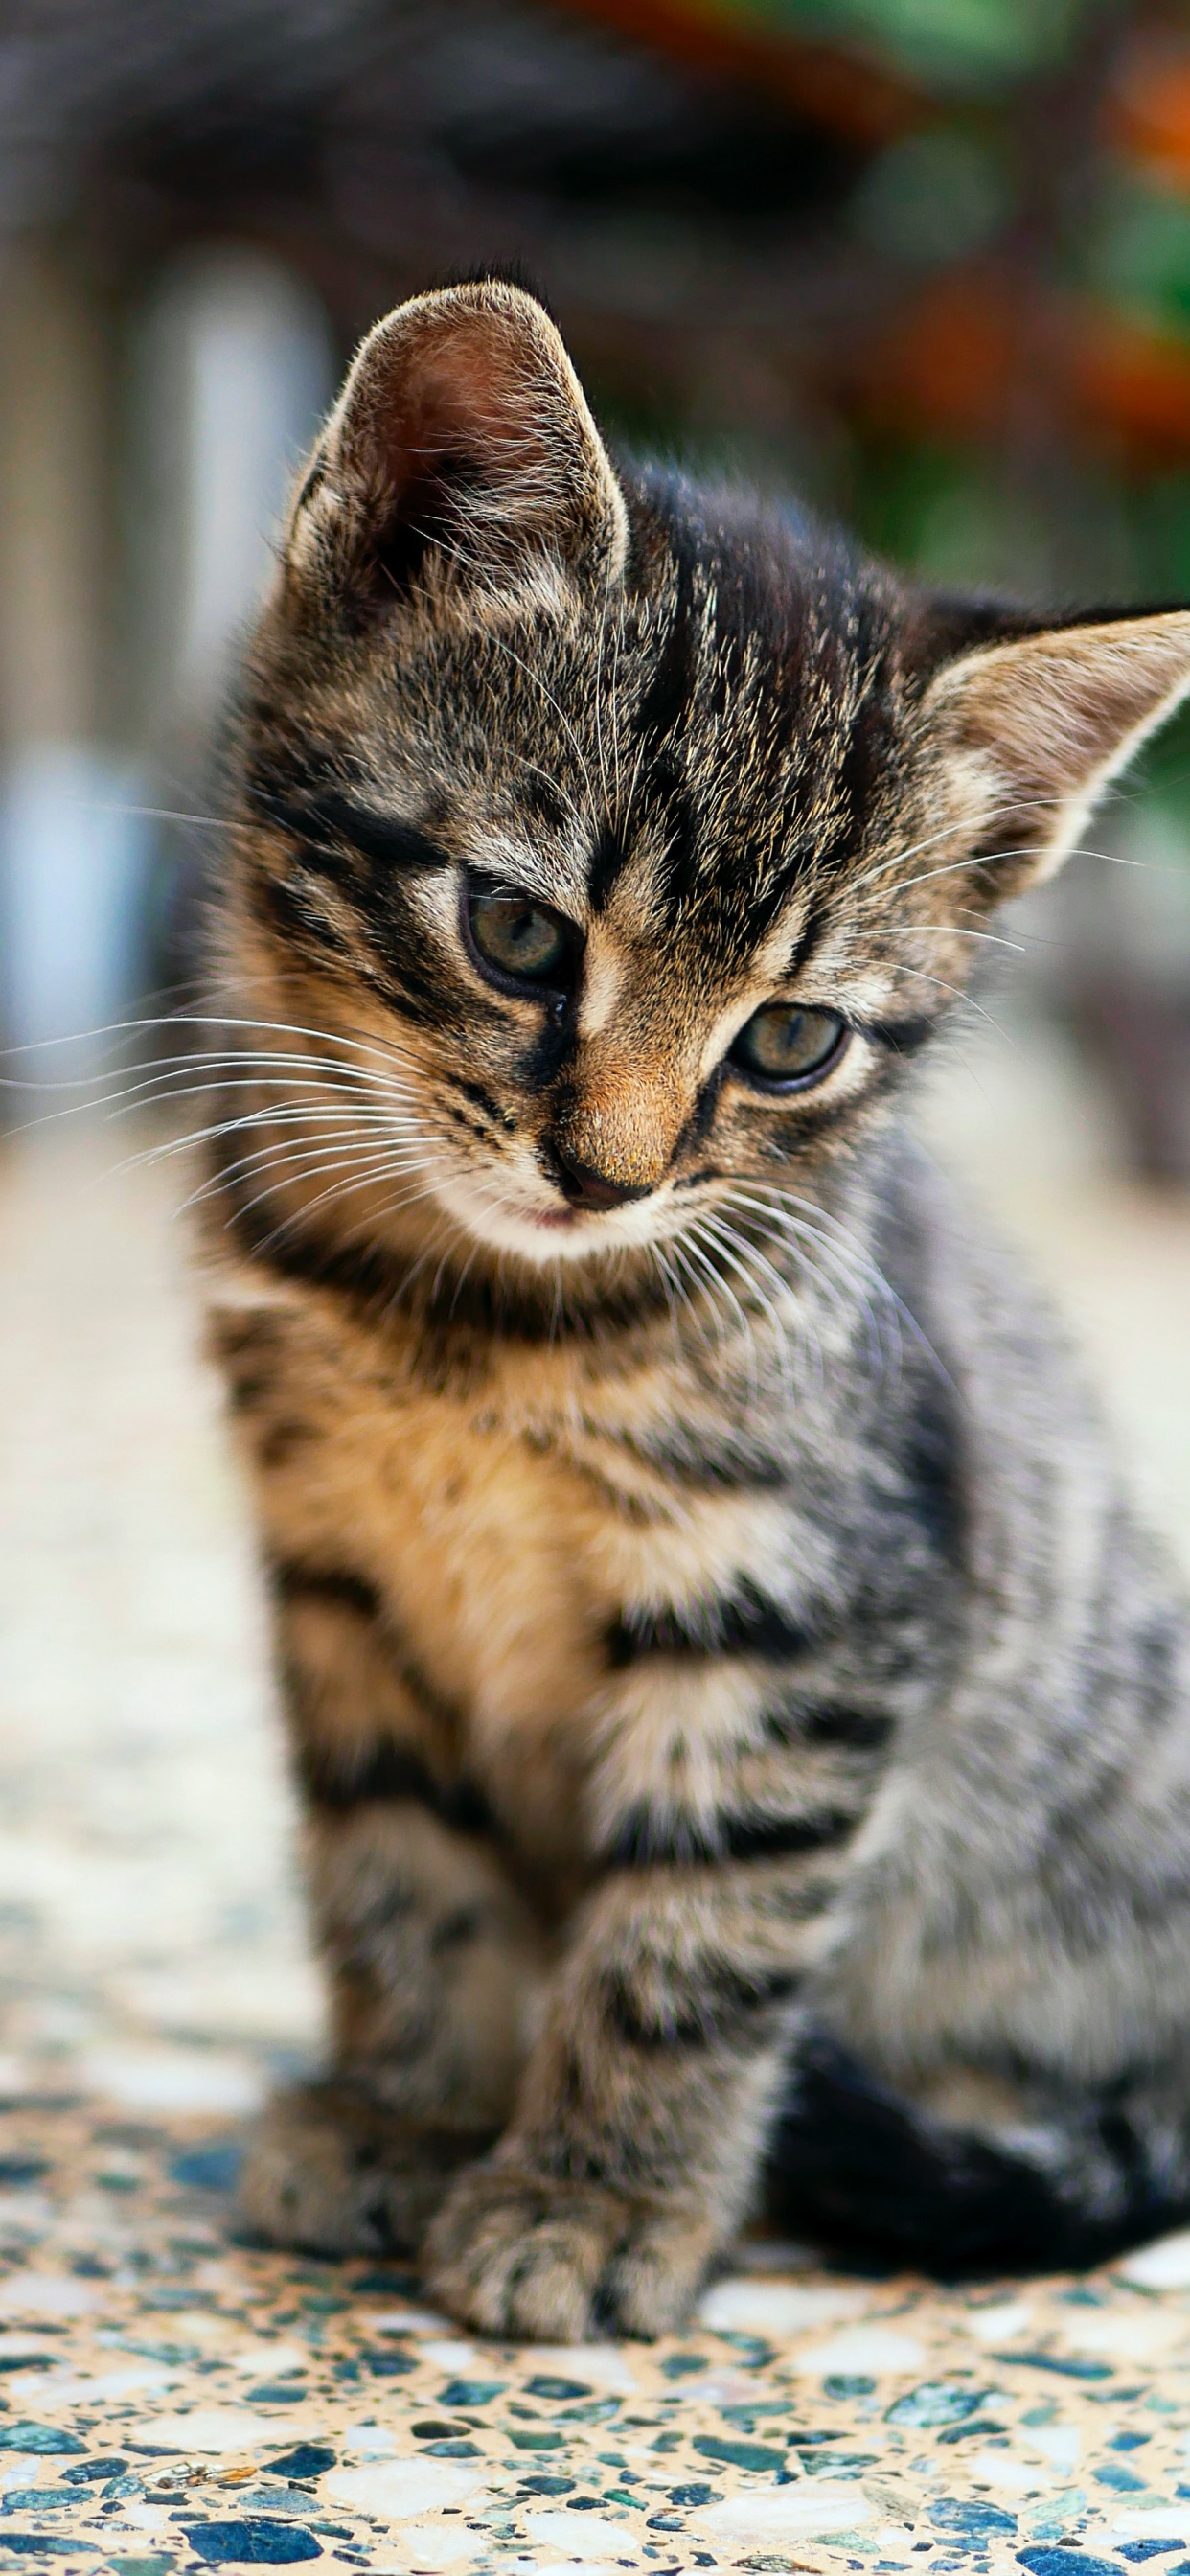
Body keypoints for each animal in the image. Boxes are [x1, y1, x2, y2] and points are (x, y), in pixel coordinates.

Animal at [207, 282, 1190, 2338]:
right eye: (515, 934)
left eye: (791, 1040)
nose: (608, 1174)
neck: (472, 1318)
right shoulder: (340, 1578)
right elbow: (394, 1863)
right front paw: (410, 2106)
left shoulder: (810, 1602)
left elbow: (694, 1927)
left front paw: (594, 2194)